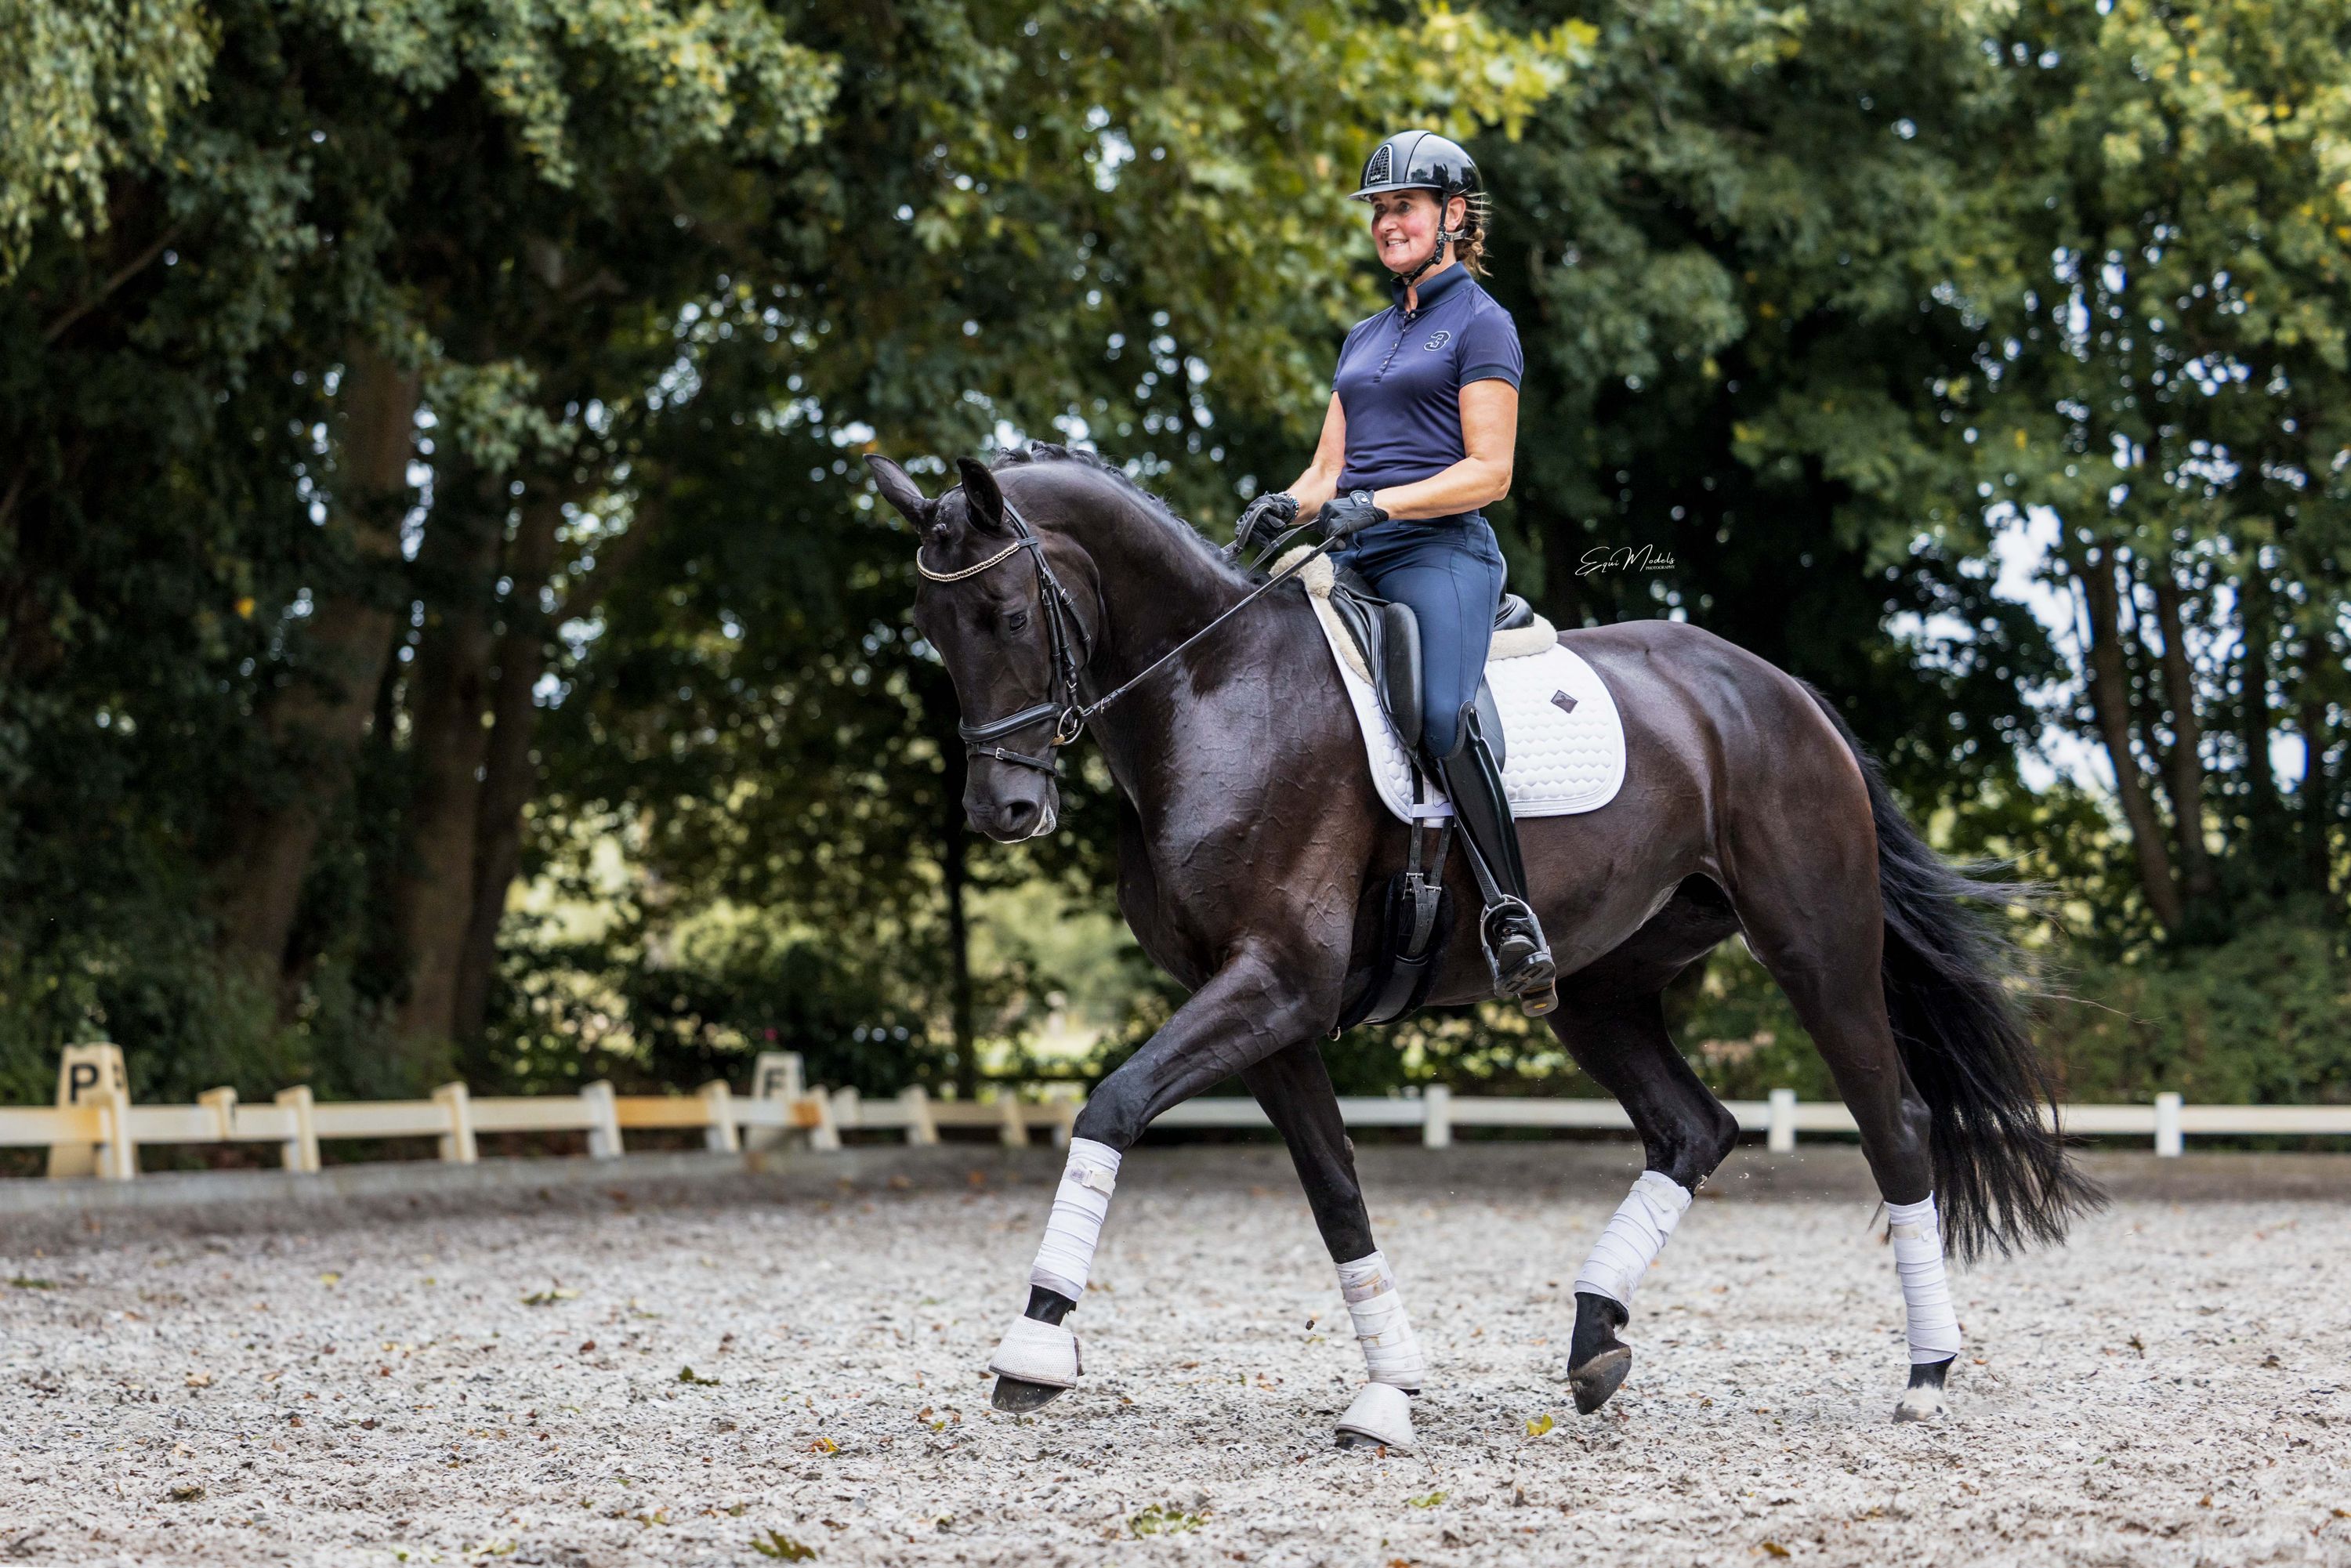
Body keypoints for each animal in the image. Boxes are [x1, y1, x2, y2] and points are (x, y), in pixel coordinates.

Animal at [868, 443, 2099, 1452]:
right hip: (1602, 988)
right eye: (932, 629)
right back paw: (1596, 1341)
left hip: (1817, 952)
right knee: (1693, 1128)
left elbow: (1112, 1105)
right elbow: (1336, 1189)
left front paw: (1035, 1345)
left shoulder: (1276, 985)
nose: (1002, 812)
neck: (1214, 693)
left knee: (1896, 1128)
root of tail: (1782, 690)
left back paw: (1927, 1375)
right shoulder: (1264, 1009)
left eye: (1009, 617)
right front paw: (1390, 1389)